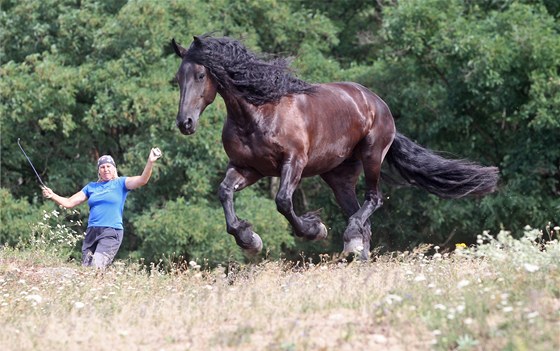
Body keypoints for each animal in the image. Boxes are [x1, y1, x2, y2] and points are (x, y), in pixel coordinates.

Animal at [171, 35, 498, 262]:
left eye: (200, 75)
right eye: (178, 78)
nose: (185, 123)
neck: (258, 112)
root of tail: (376, 102)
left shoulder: (293, 162)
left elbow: (283, 202)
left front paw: (315, 230)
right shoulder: (248, 168)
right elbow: (225, 193)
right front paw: (249, 239)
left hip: (372, 156)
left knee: (373, 200)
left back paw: (350, 238)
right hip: (338, 176)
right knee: (363, 221)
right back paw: (357, 253)